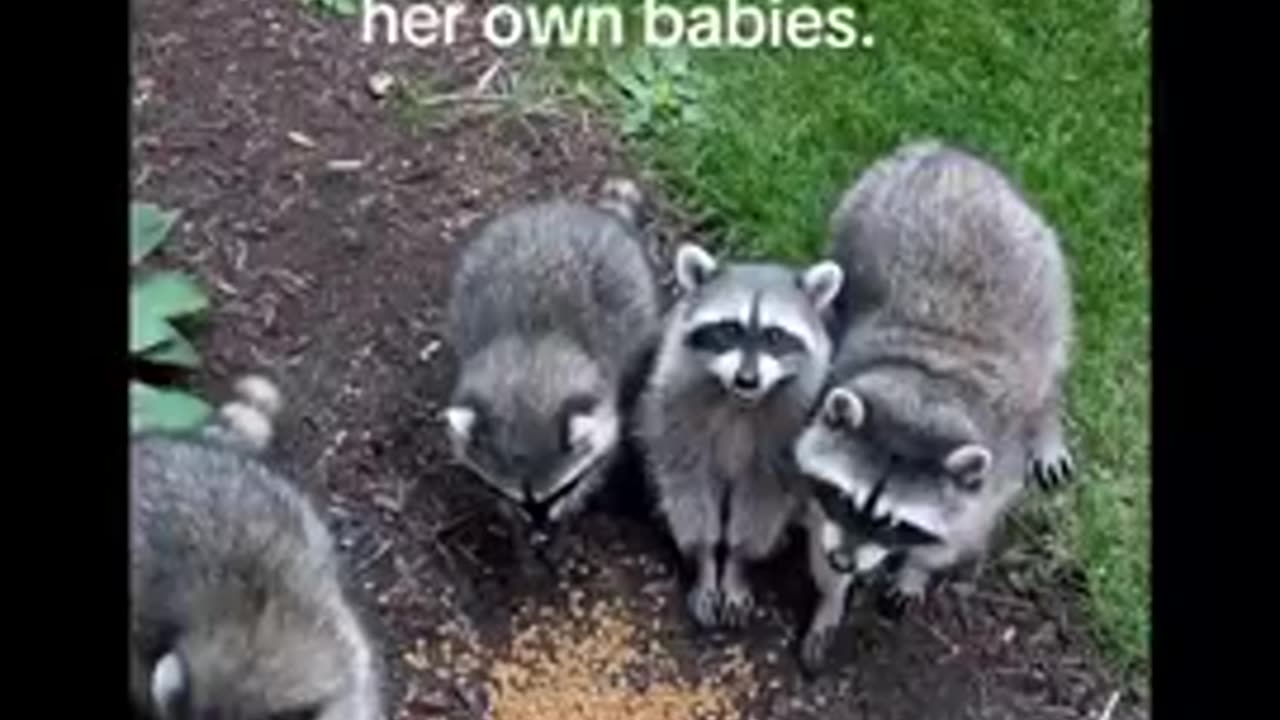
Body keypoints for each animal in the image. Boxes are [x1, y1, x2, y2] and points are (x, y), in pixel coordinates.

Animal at [443, 181, 661, 571]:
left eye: (557, 492)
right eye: (515, 495)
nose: (540, 532)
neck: (529, 364)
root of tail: (577, 211)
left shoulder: (604, 403)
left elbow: (599, 461)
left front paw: (567, 520)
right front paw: (518, 532)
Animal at [636, 242, 843, 630]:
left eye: (775, 336)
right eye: (729, 329)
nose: (747, 380)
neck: (738, 401)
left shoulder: (789, 424)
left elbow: (764, 493)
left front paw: (736, 565)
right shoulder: (677, 401)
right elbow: (688, 479)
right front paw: (704, 561)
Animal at [794, 140, 1077, 672]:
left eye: (896, 522)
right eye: (845, 497)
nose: (845, 561)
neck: (919, 398)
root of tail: (947, 155)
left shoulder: (992, 480)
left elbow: (957, 533)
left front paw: (914, 571)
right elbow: (821, 523)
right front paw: (831, 596)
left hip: (1044, 267)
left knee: (1051, 361)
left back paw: (1048, 420)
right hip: (853, 214)